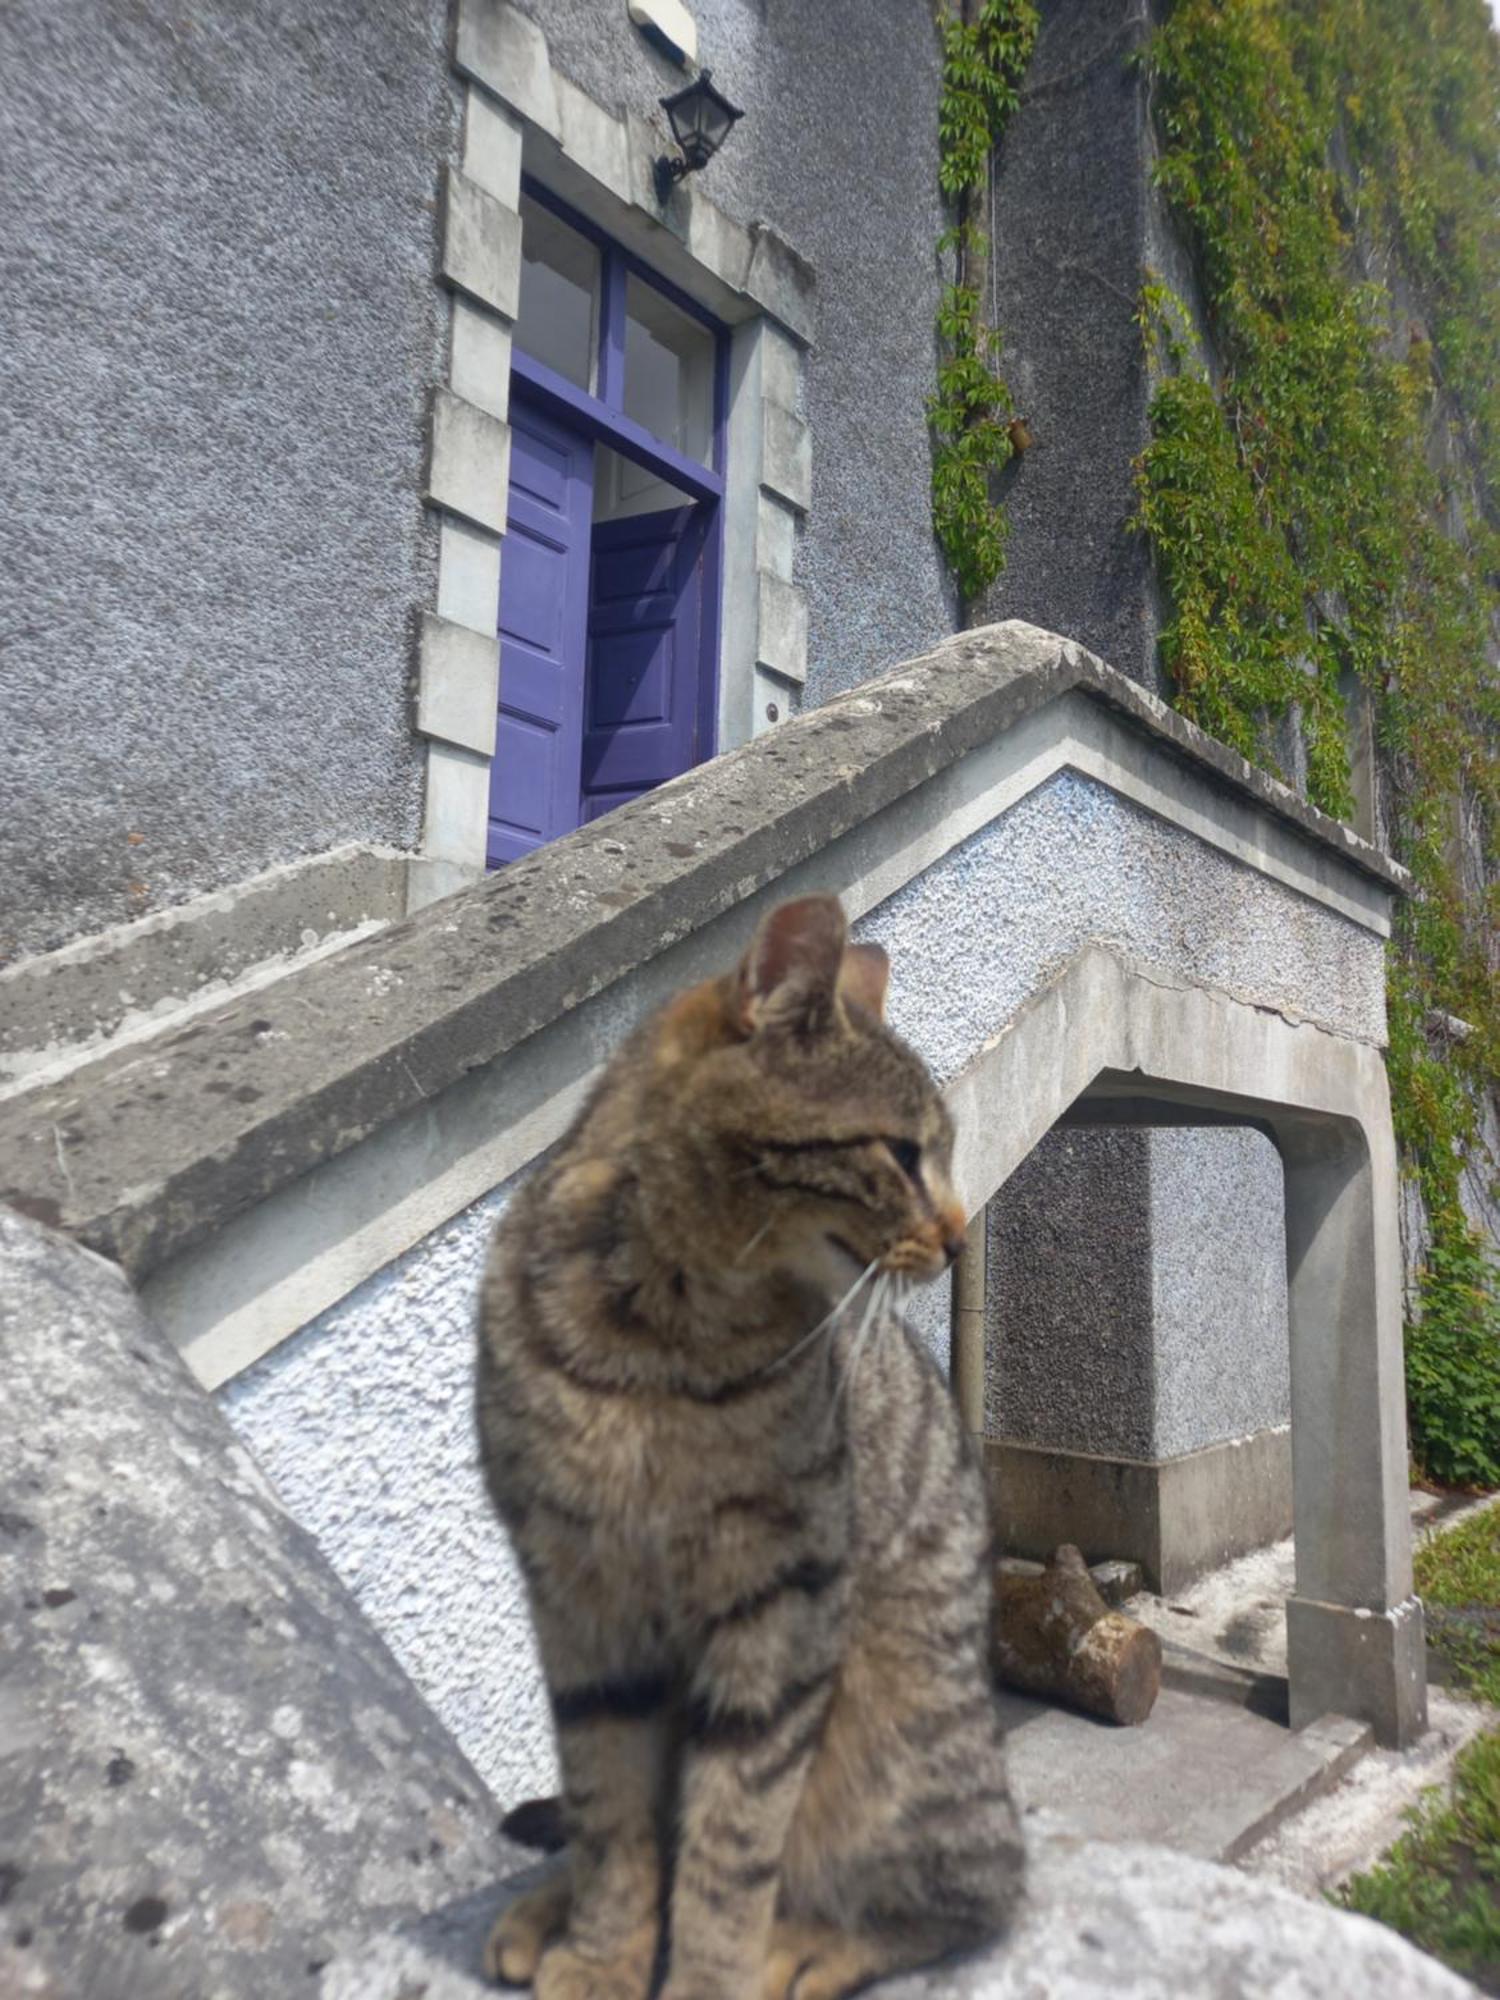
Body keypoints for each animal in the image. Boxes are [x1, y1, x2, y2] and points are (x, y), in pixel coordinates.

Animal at [476, 900, 1032, 1992]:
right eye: (902, 1153)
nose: (956, 1235)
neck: (662, 1332)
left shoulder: (781, 1604)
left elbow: (732, 1843)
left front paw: (706, 1974)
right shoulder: (579, 1598)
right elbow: (611, 1816)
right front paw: (602, 1952)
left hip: (899, 1730)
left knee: (974, 1885)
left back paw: (807, 1943)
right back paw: (547, 1908)